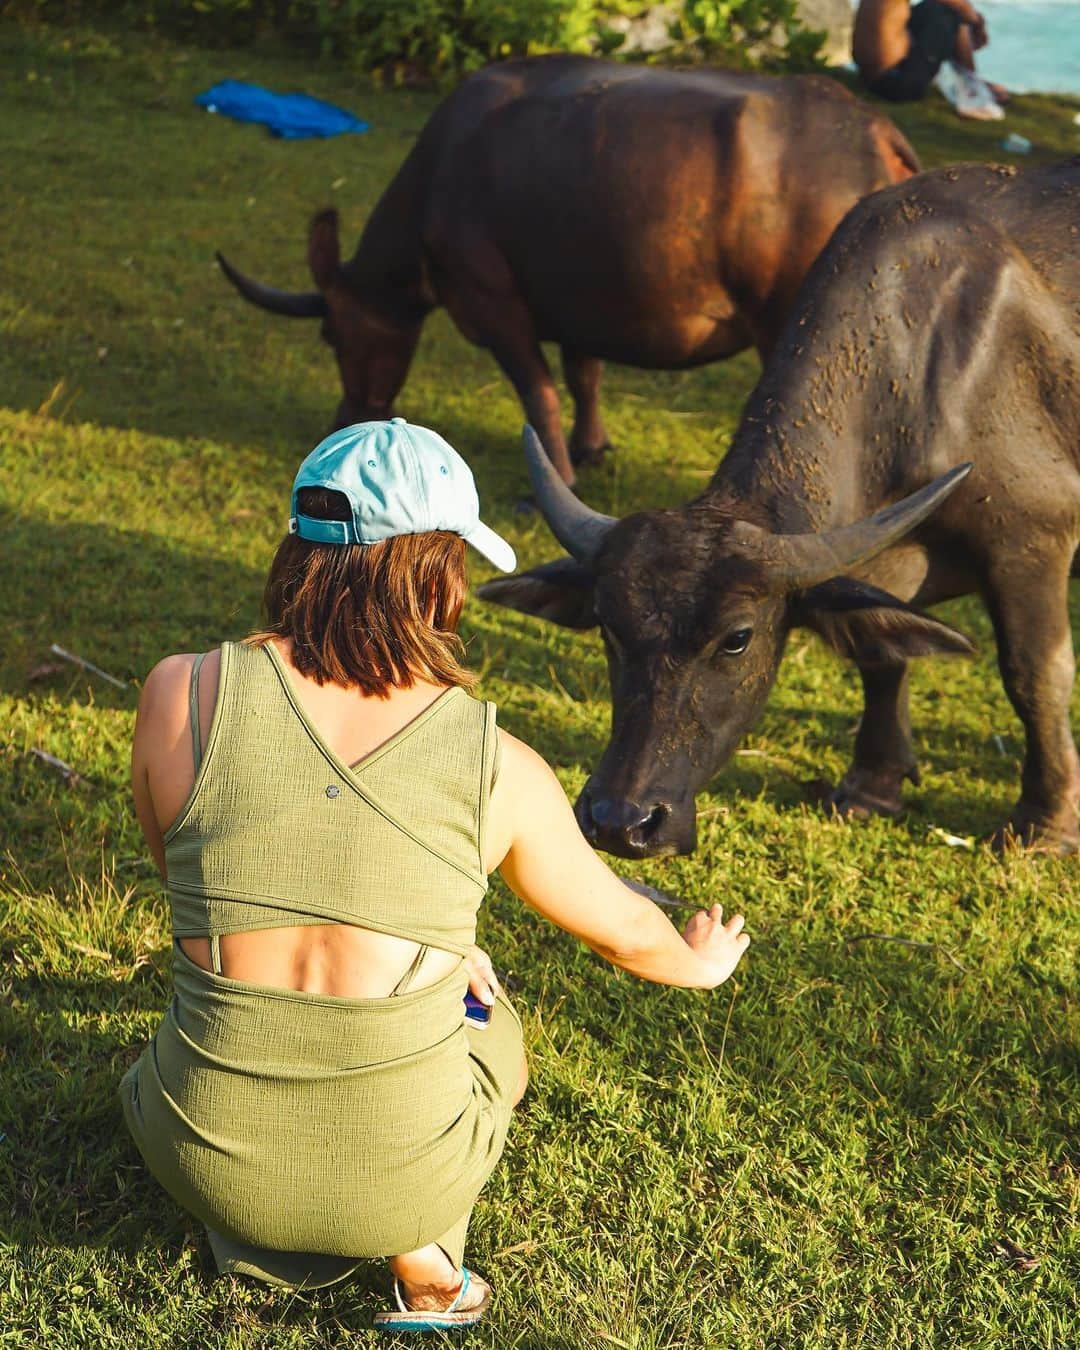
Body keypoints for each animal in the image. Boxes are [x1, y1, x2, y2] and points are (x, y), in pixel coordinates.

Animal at [214, 55, 918, 486]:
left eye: (330, 333)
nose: (344, 418)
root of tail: (874, 130)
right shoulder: (586, 302)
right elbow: (583, 376)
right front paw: (593, 446)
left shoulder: (492, 302)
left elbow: (538, 390)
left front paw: (555, 475)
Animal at [483, 155, 1080, 853]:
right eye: (608, 623)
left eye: (738, 639)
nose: (620, 821)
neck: (929, 367)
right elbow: (881, 658)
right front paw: (872, 785)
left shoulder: (1031, 541)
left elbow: (1034, 674)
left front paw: (1045, 825)